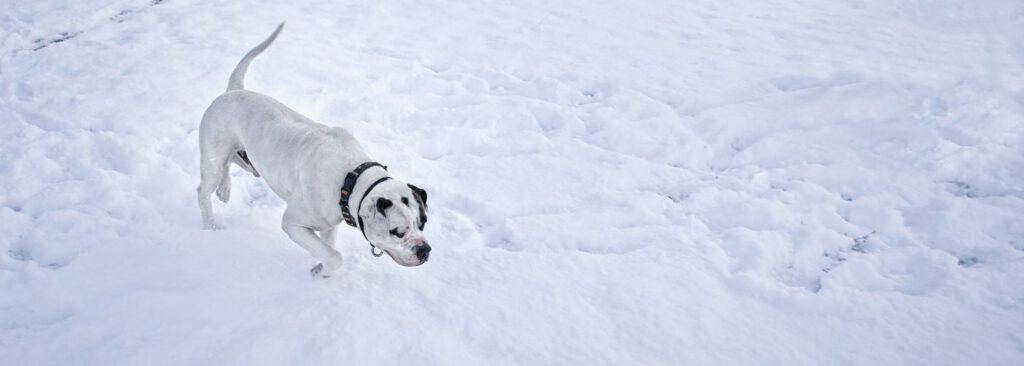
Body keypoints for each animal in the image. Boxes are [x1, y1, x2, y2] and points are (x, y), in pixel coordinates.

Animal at [197, 23, 430, 276]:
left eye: (422, 223)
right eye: (398, 232)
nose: (425, 250)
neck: (352, 178)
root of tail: (232, 91)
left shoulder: (329, 225)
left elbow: (328, 249)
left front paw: (320, 267)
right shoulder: (293, 223)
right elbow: (335, 256)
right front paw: (320, 271)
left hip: (241, 156)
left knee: (230, 164)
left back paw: (224, 190)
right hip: (214, 154)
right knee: (204, 189)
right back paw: (211, 224)